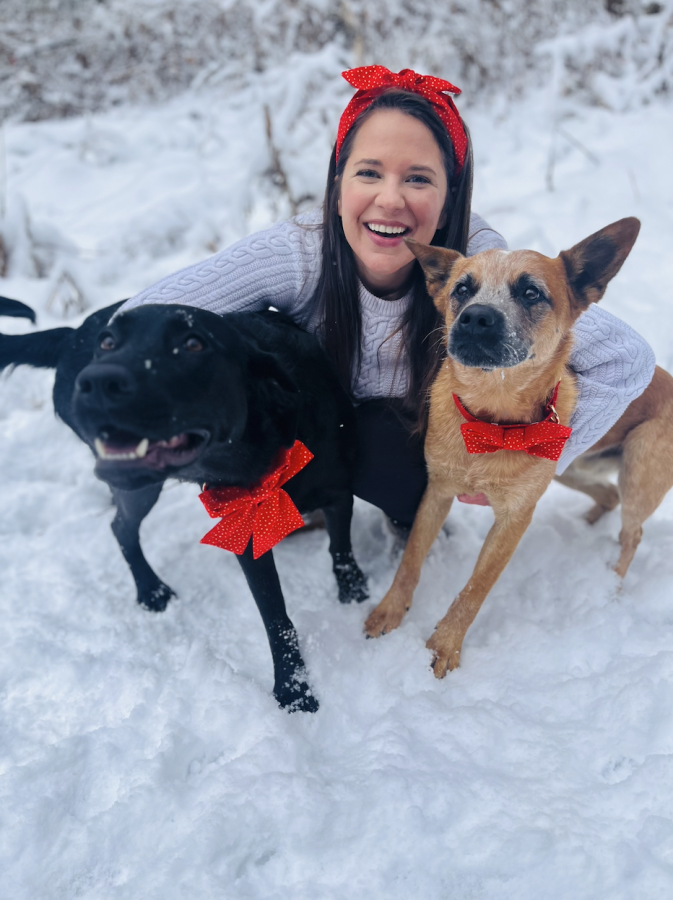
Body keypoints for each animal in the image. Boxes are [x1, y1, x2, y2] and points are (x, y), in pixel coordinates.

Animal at [0, 298, 368, 712]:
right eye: (108, 342)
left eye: (194, 343)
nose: (94, 382)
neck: (260, 454)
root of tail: (71, 335)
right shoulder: (243, 531)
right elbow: (276, 617)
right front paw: (294, 690)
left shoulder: (338, 492)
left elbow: (341, 550)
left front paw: (353, 592)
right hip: (140, 486)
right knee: (120, 527)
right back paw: (151, 591)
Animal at [364, 221, 672, 680]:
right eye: (461, 289)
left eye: (531, 292)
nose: (476, 317)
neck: (491, 422)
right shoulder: (437, 492)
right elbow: (411, 560)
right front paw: (389, 611)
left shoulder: (514, 518)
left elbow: (475, 588)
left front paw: (444, 647)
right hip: (573, 470)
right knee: (608, 496)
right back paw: (587, 525)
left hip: (638, 471)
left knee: (632, 532)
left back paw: (611, 584)